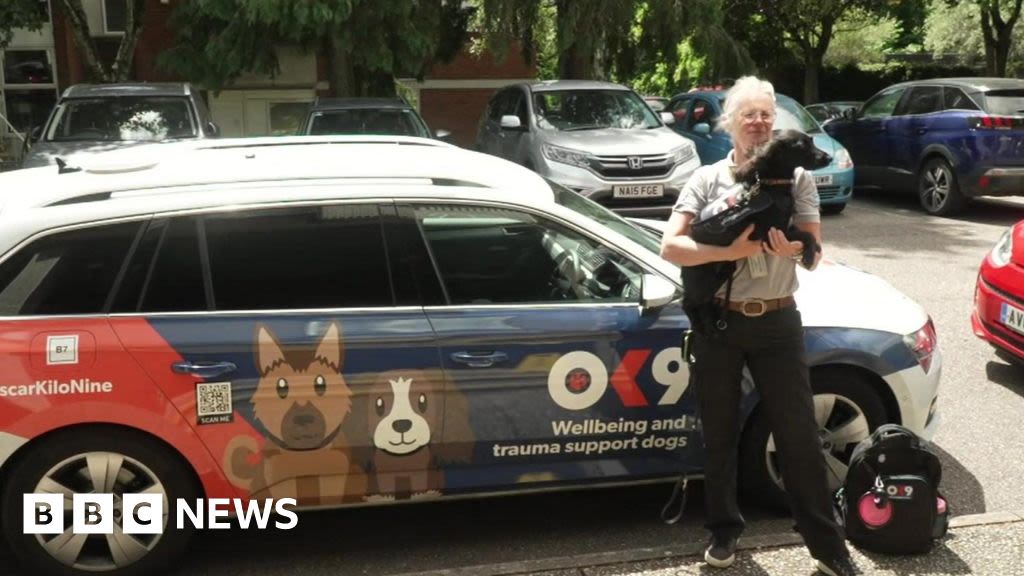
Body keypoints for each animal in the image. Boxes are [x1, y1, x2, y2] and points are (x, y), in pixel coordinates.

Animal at [679, 129, 831, 332]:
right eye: (802, 146)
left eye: (811, 141)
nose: (829, 158)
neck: (771, 184)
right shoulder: (770, 232)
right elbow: (806, 234)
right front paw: (808, 255)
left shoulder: (785, 226)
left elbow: (805, 233)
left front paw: (815, 249)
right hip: (702, 280)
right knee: (688, 302)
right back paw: (700, 326)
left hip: (722, 273)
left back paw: (710, 324)